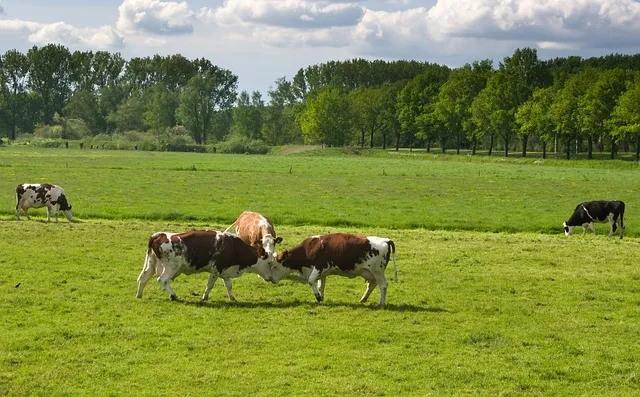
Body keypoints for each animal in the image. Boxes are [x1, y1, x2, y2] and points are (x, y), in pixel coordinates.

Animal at [136, 229, 274, 300]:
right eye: (269, 262)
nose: (272, 279)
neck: (233, 247)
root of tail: (159, 235)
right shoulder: (216, 270)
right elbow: (210, 285)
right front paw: (205, 297)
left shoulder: (225, 271)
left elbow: (229, 286)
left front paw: (232, 298)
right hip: (171, 267)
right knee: (162, 280)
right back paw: (173, 295)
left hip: (151, 264)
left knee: (143, 278)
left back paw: (139, 295)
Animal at [268, 234, 396, 304]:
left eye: (275, 266)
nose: (271, 280)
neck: (310, 248)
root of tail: (385, 240)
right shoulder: (322, 273)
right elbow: (320, 285)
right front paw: (321, 296)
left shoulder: (318, 267)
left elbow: (311, 280)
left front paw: (318, 296)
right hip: (370, 273)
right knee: (372, 284)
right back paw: (363, 299)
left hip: (377, 272)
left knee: (383, 285)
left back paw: (381, 303)